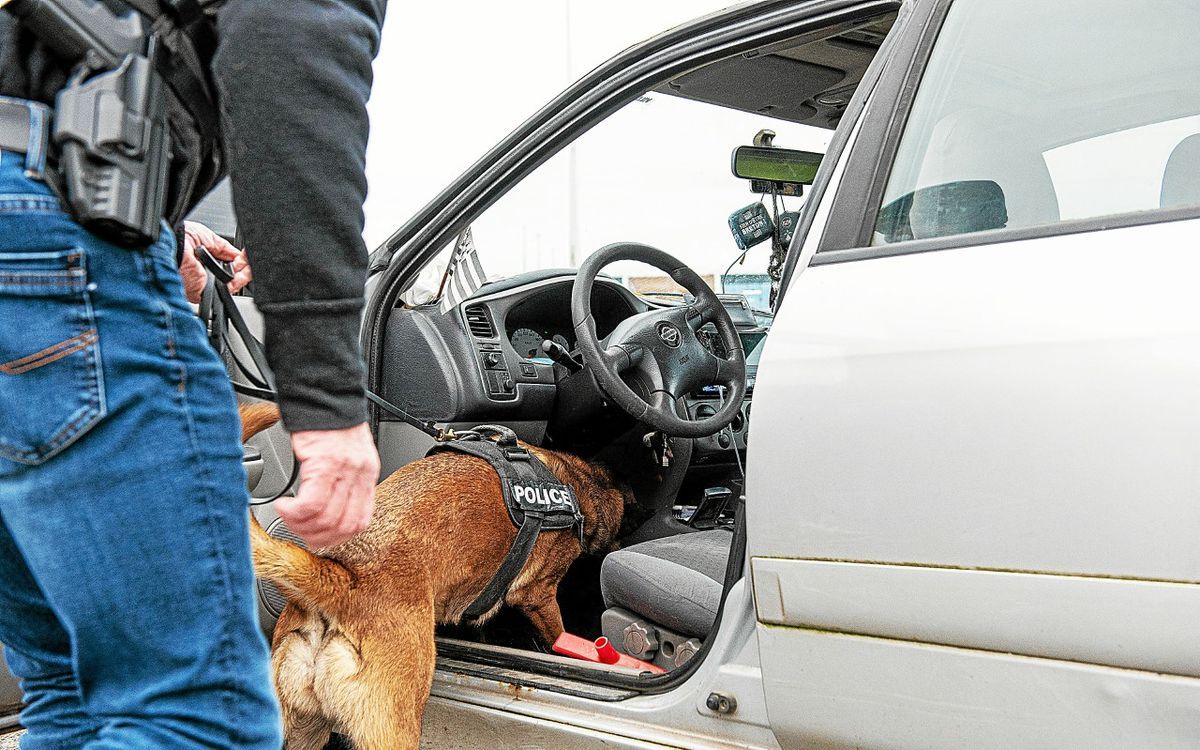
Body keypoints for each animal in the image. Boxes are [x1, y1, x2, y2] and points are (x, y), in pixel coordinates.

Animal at [237, 405, 624, 744]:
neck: (573, 479)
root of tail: (342, 577)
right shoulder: (538, 595)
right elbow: (557, 631)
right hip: (394, 727)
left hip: (299, 730)